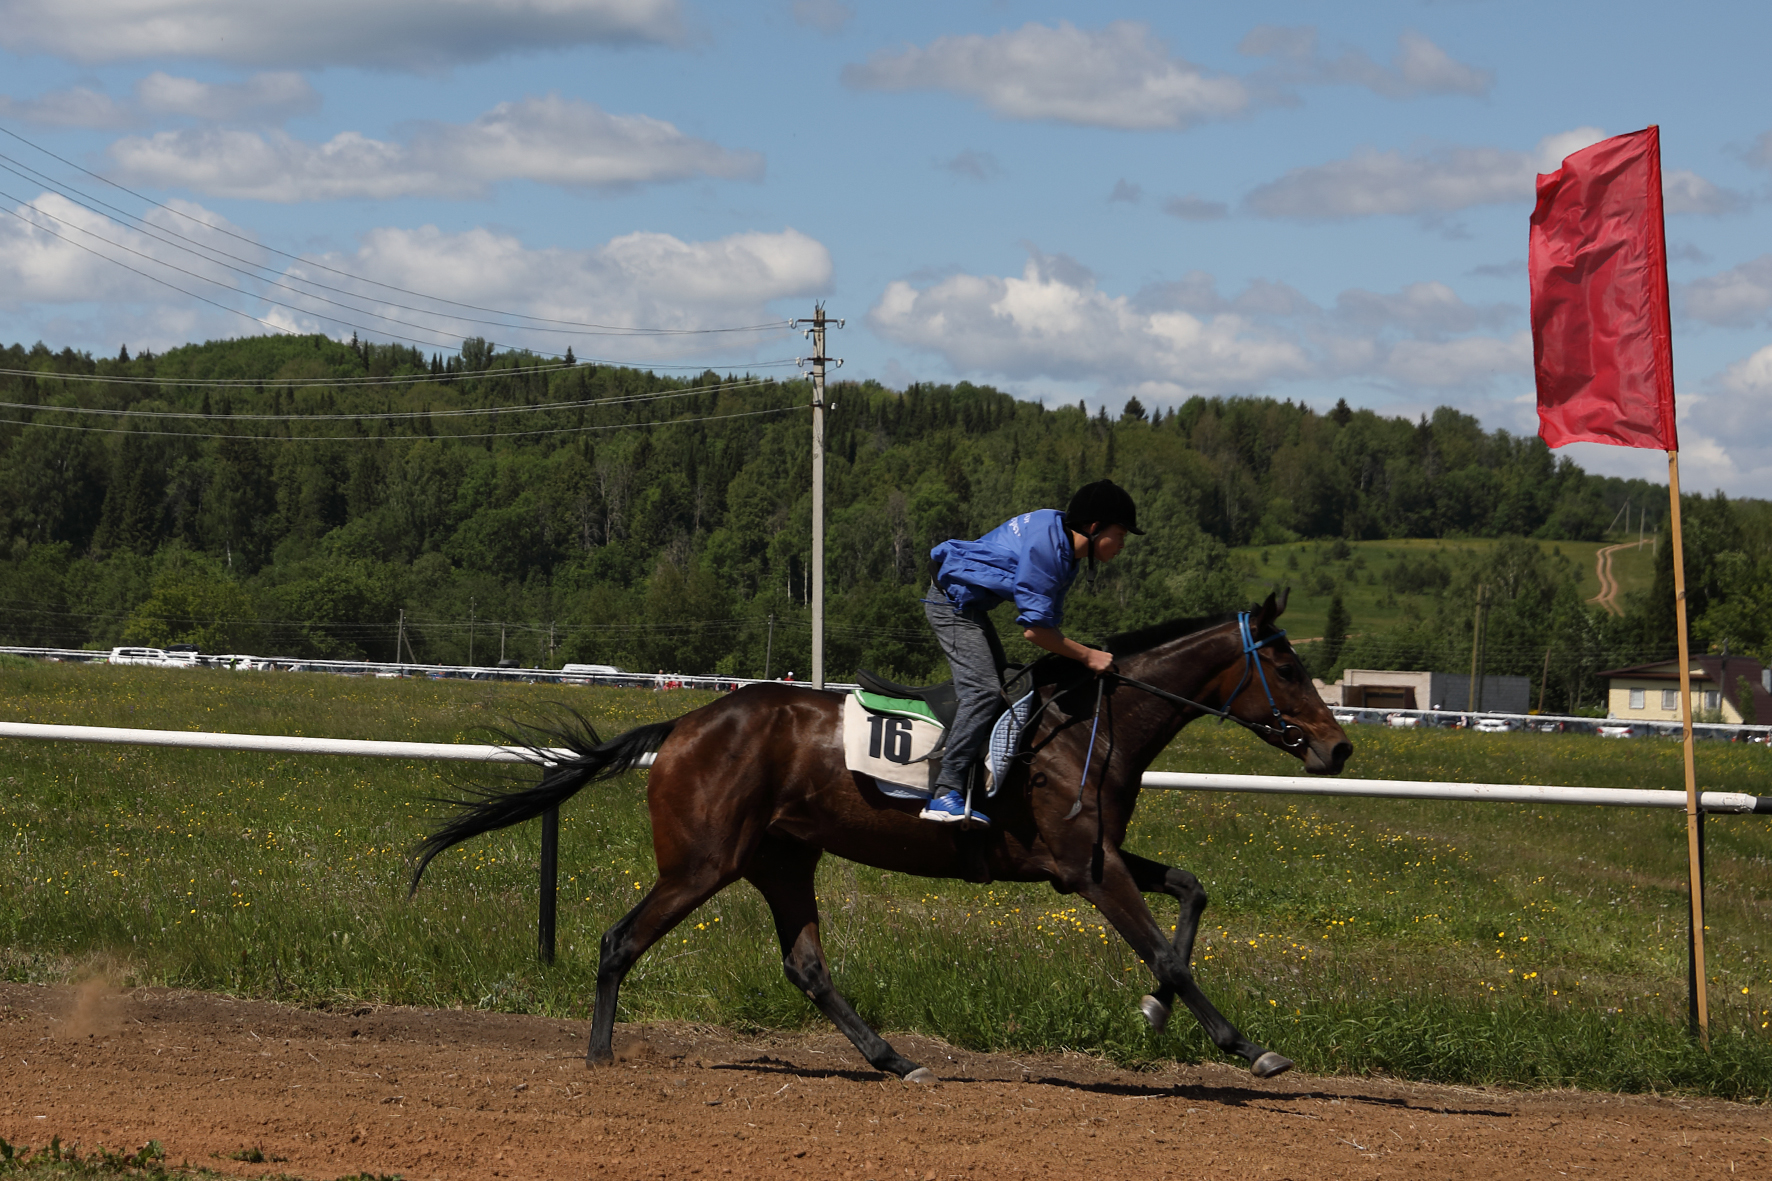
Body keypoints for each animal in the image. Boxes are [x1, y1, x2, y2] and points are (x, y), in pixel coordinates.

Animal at [414, 592, 1346, 1078]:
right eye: (1289, 666)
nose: (1339, 747)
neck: (1087, 726)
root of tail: (684, 721)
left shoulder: (1089, 858)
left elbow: (1191, 888)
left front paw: (1154, 1012)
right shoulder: (1085, 868)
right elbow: (1169, 952)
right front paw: (1247, 1046)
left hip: (782, 859)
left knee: (807, 966)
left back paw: (895, 1057)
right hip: (702, 861)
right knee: (619, 939)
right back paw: (601, 1056)